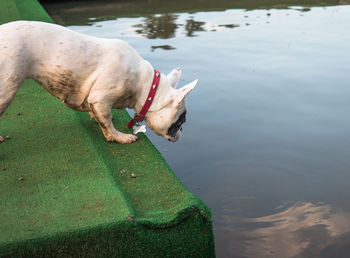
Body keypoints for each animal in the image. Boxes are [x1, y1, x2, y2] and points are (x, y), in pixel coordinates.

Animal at [0, 20, 197, 143]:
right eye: (181, 121)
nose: (181, 134)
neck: (146, 86)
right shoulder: (100, 98)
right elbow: (107, 122)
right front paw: (119, 137)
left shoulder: (95, 100)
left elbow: (99, 115)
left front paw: (94, 117)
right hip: (7, 87)